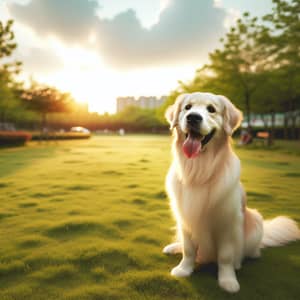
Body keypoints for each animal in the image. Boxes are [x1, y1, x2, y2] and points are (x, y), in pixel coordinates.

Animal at [163, 92, 300, 292]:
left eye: (211, 109)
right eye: (187, 107)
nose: (193, 117)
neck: (199, 171)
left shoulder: (228, 222)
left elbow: (225, 256)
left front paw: (228, 281)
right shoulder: (186, 218)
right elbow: (188, 249)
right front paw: (184, 269)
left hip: (255, 220)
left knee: (248, 252)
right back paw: (174, 247)